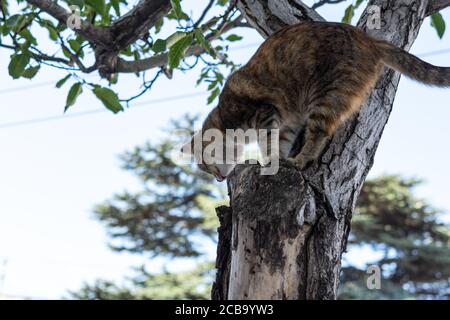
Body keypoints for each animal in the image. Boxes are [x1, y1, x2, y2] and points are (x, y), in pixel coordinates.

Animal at [181, 21, 450, 181]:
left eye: (205, 166)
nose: (217, 178)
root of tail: (367, 39)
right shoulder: (287, 122)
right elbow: (280, 142)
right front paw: (279, 159)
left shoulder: (264, 113)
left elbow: (268, 142)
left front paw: (270, 161)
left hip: (327, 96)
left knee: (320, 132)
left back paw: (301, 159)